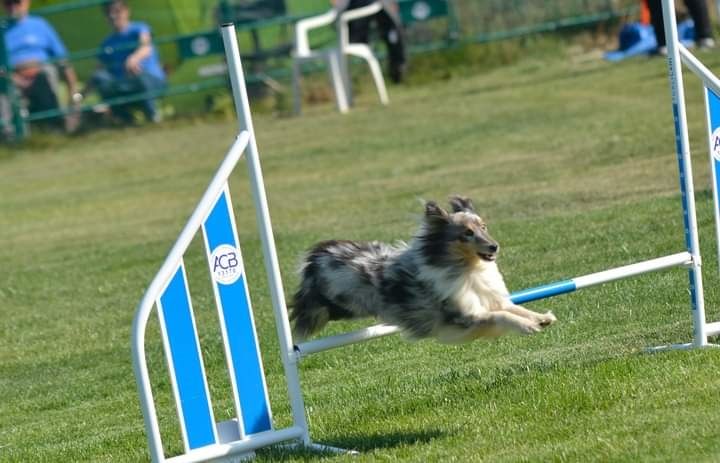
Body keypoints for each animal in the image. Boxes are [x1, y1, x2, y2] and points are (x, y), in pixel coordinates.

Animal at [292, 196, 556, 344]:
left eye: (484, 226)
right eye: (467, 233)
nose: (494, 246)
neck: (469, 271)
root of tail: (316, 255)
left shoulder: (490, 299)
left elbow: (514, 308)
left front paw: (541, 317)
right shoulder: (463, 317)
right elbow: (501, 316)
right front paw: (527, 326)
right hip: (338, 306)